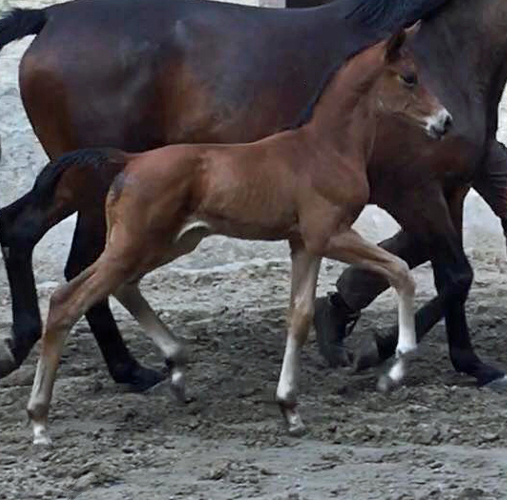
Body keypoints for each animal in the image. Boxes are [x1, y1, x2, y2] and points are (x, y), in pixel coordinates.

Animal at [27, 30, 450, 446]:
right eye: (410, 77)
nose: (444, 122)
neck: (326, 148)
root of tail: (130, 160)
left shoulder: (303, 244)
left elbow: (299, 315)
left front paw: (290, 409)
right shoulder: (329, 234)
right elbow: (400, 271)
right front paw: (394, 371)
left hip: (167, 243)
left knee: (123, 287)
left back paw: (177, 368)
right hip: (135, 245)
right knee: (67, 301)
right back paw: (40, 421)